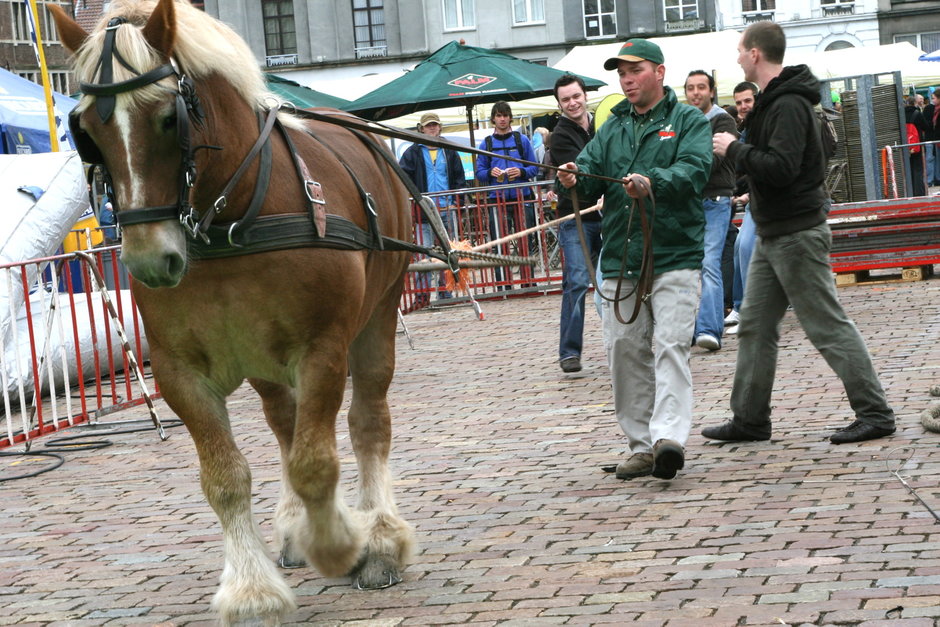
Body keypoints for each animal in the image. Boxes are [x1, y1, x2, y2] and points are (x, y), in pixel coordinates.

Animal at [51, 2, 418, 624]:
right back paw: (296, 528)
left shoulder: (322, 349)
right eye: (88, 131)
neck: (235, 217)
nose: (150, 259)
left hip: (377, 319)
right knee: (285, 423)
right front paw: (253, 590)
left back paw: (379, 539)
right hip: (262, 359)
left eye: (167, 118)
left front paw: (341, 543)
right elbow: (226, 477)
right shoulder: (179, 370)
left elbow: (316, 463)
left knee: (367, 420)